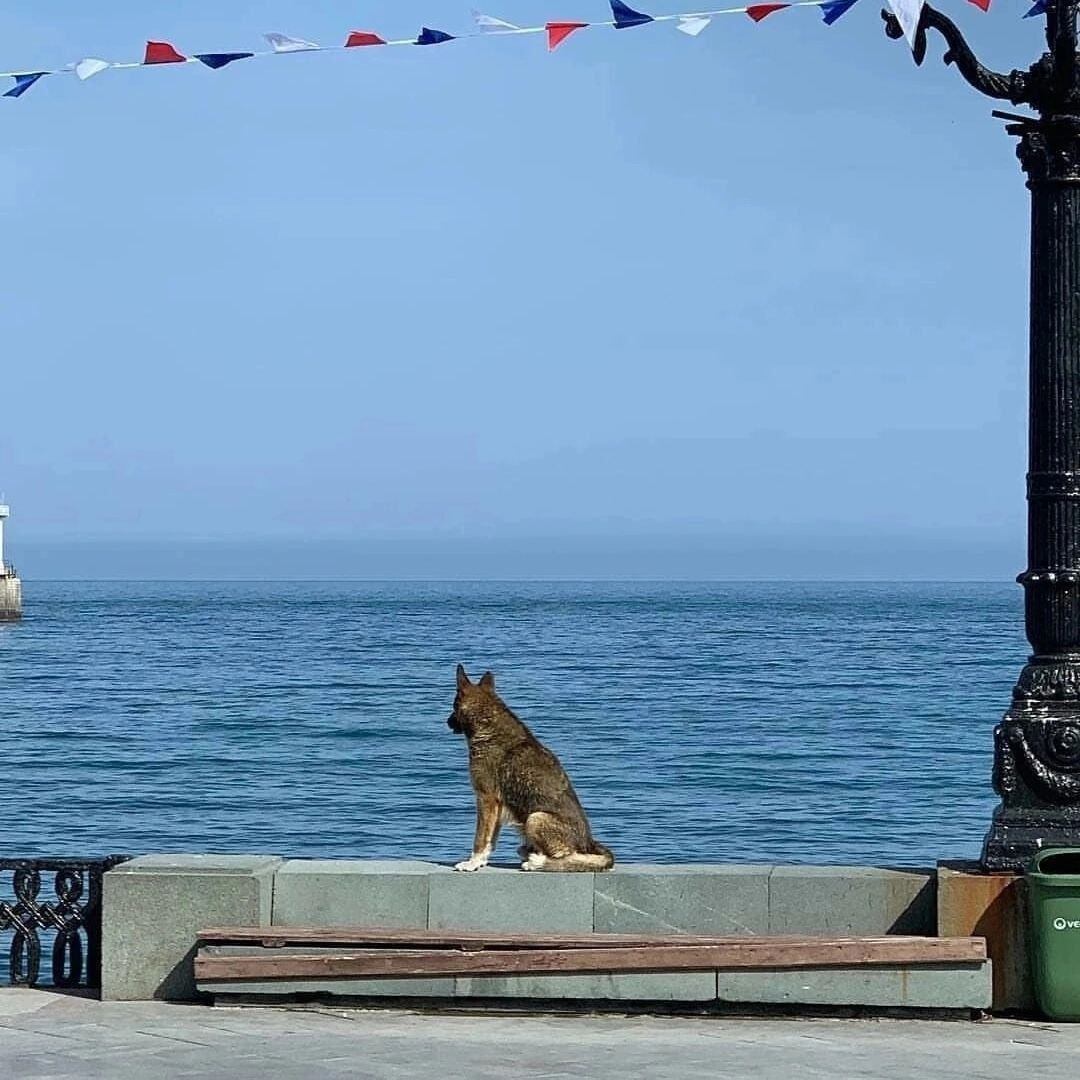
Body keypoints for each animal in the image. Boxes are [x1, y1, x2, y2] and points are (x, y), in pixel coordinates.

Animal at [447, 660, 617, 872]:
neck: (487, 722)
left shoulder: (486, 798)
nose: (447, 722)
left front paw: (472, 863)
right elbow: (490, 840)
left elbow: (480, 838)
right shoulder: (496, 805)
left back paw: (536, 861)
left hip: (535, 818)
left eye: (454, 706)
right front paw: (482, 861)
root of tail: (589, 843)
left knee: (568, 858)